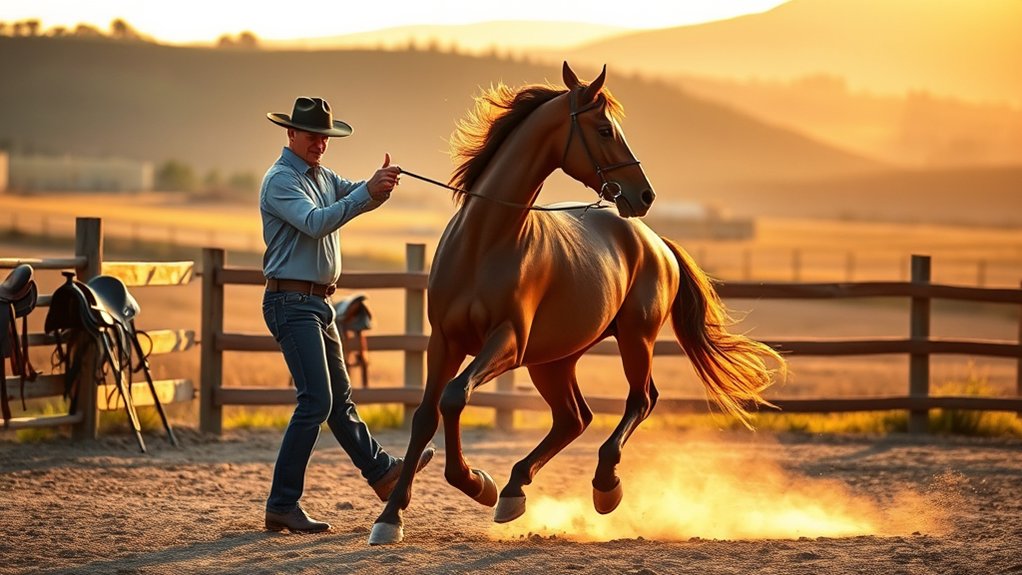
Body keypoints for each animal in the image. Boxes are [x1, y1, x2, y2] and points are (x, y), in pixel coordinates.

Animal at [368, 62, 786, 545]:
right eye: (605, 129)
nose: (644, 195)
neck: (484, 244)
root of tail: (655, 242)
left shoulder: (508, 342)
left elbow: (455, 396)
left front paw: (476, 483)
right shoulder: (444, 342)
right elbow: (425, 416)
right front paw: (390, 517)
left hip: (634, 338)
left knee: (640, 400)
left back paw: (604, 486)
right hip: (554, 360)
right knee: (574, 418)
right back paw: (514, 490)